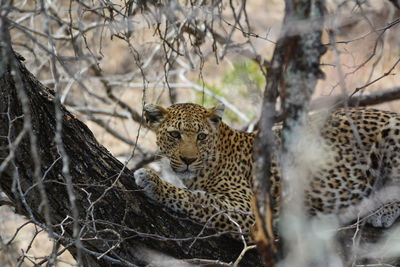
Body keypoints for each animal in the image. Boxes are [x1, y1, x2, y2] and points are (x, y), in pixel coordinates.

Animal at [134, 103, 400, 243]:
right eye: (174, 135)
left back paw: (383, 210)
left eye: (201, 136)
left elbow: (196, 199)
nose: (188, 160)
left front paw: (153, 181)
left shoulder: (246, 208)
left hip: (393, 129)